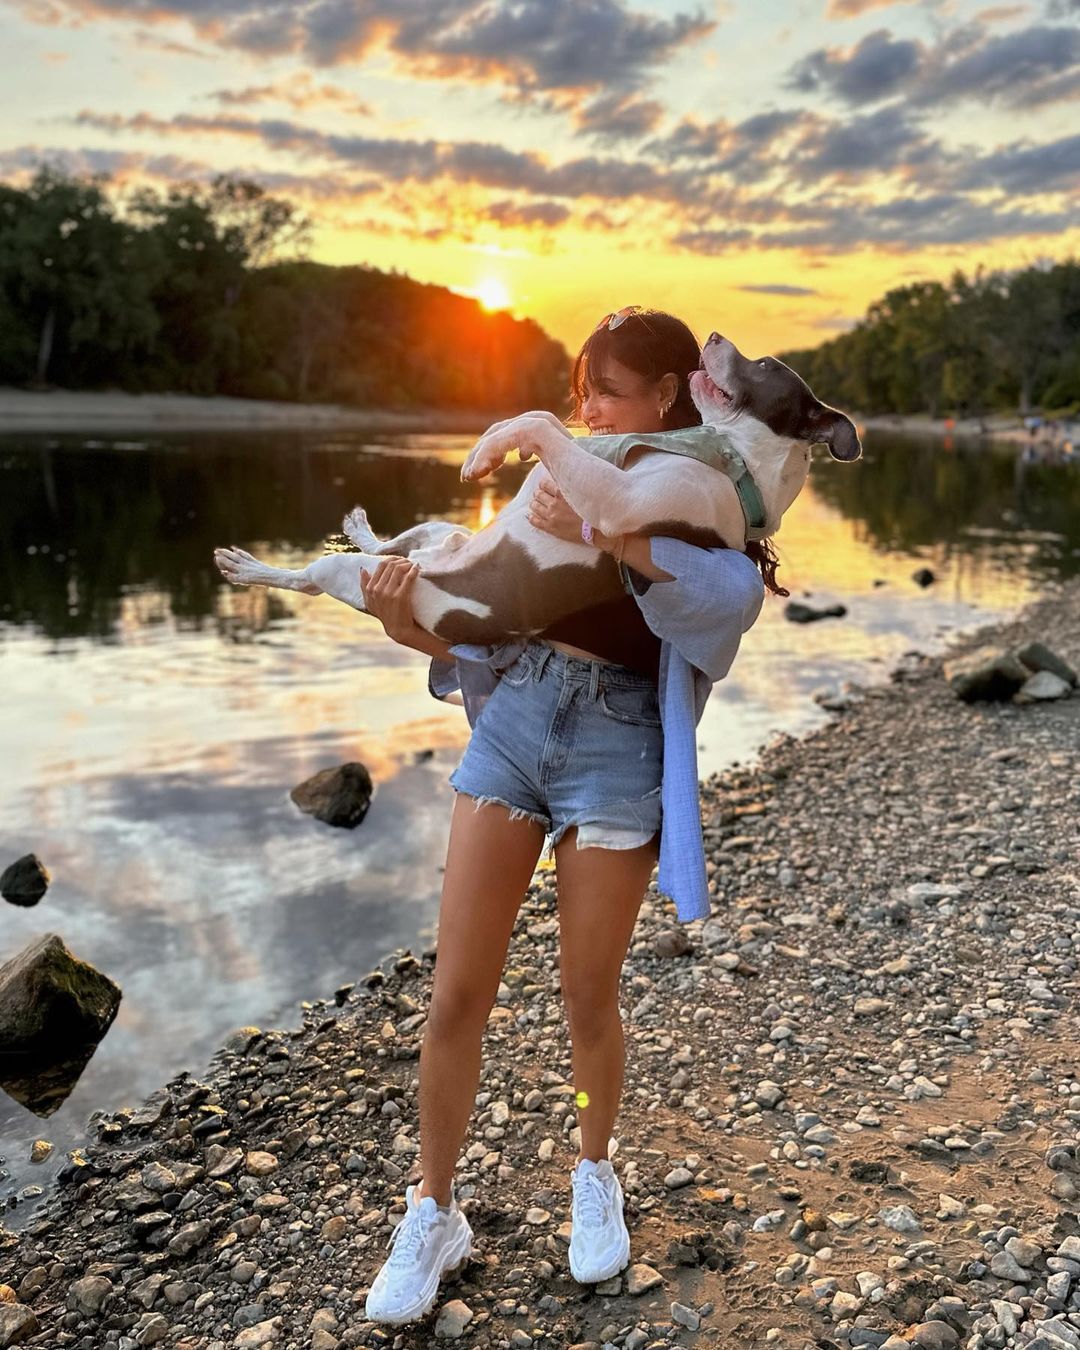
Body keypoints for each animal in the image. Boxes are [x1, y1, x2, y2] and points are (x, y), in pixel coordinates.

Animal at [213, 329, 858, 639]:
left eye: (766, 366)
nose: (717, 335)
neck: (731, 456)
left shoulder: (617, 501)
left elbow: (545, 423)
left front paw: (488, 449)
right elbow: (543, 418)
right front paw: (492, 442)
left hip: (354, 575)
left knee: (307, 579)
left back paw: (249, 567)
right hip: (438, 530)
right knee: (396, 542)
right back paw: (360, 525)